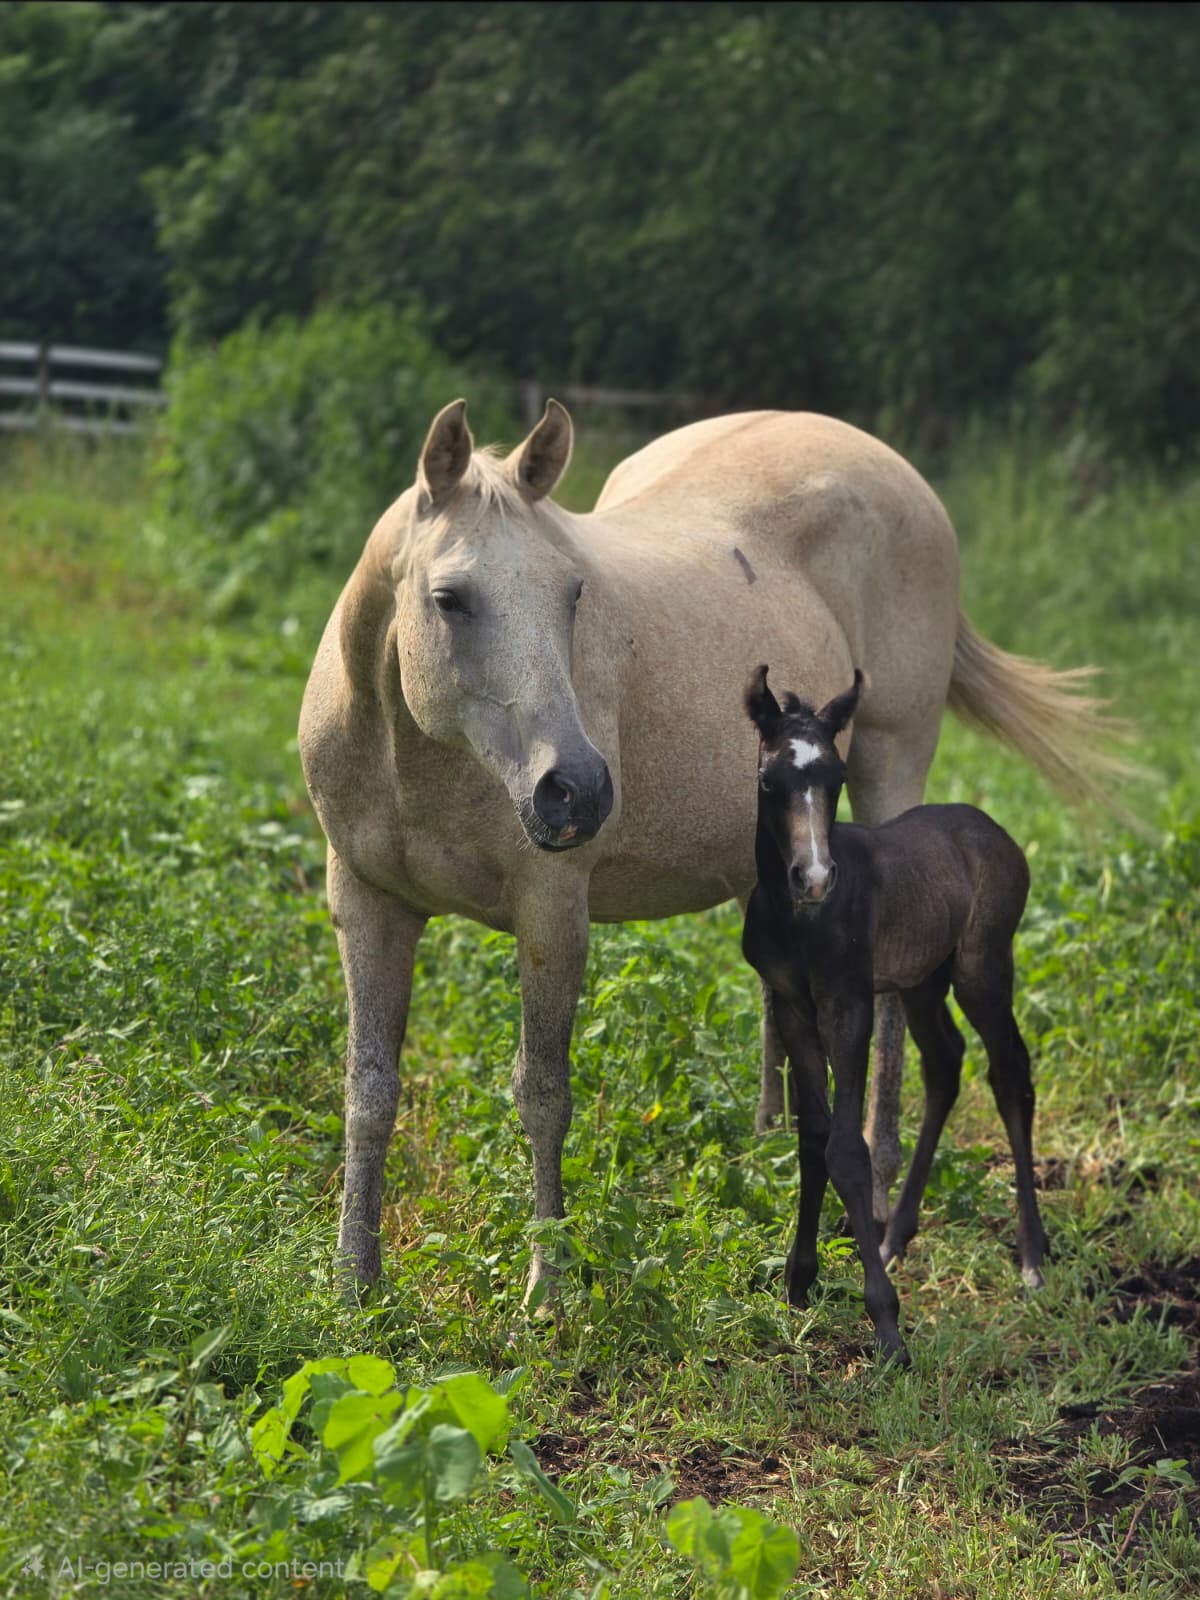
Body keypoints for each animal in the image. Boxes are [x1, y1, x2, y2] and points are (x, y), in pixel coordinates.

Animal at [741, 665, 1048, 1364]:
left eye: (837, 779)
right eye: (770, 781)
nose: (815, 876)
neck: (796, 919)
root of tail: (997, 834)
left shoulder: (848, 1003)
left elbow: (847, 1149)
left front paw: (885, 1324)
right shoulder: (794, 1006)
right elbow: (813, 1138)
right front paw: (799, 1283)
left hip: (981, 968)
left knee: (1009, 1073)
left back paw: (1031, 1253)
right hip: (921, 981)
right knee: (944, 1063)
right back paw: (896, 1236)